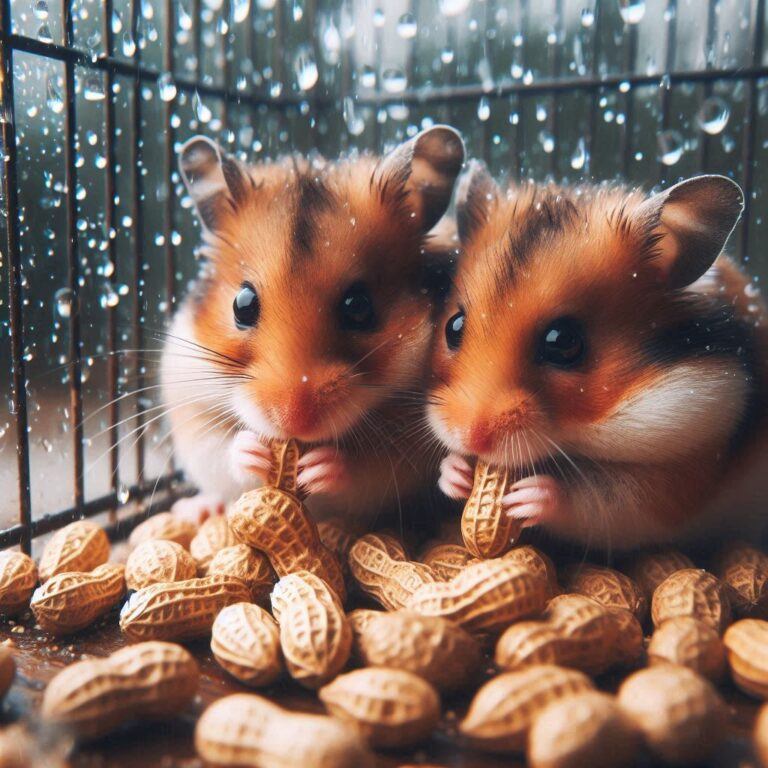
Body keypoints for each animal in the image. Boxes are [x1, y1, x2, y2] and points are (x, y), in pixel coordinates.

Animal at [159, 126, 464, 528]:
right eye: (242, 304)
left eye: (359, 307)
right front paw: (252, 452)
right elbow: (222, 450)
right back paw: (194, 509)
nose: (294, 422)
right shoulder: (190, 406)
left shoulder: (410, 448)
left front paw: (321, 466)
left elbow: (366, 468)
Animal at [428, 162, 764, 548]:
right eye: (453, 326)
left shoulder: (685, 468)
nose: (471, 439)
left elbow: (600, 498)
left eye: (562, 342)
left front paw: (527, 496)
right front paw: (455, 473)